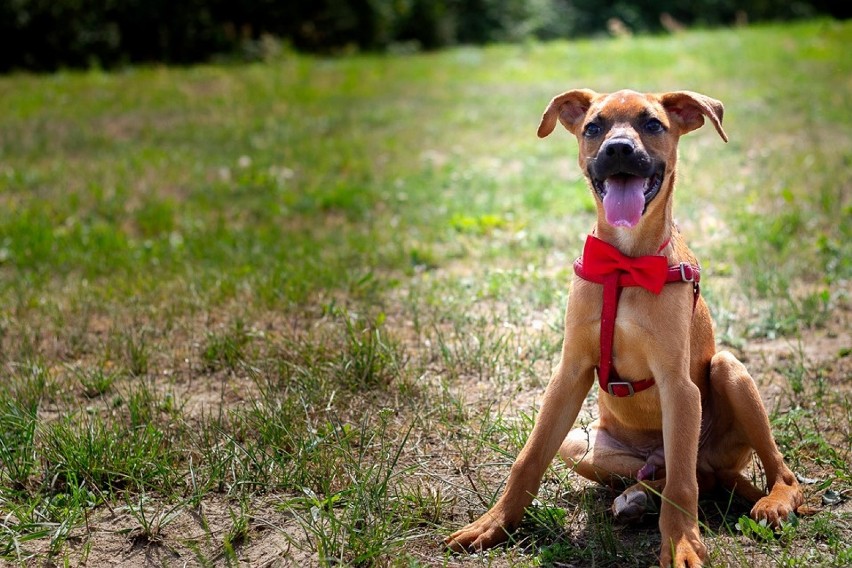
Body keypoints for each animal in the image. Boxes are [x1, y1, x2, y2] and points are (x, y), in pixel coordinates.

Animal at [446, 89, 804, 564]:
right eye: (593, 127)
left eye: (652, 124)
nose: (618, 149)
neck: (625, 264)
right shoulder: (569, 373)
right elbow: (529, 457)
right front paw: (493, 523)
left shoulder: (678, 386)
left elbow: (683, 488)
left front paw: (681, 545)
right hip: (581, 444)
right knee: (688, 476)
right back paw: (637, 498)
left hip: (728, 373)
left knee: (742, 471)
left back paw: (772, 500)